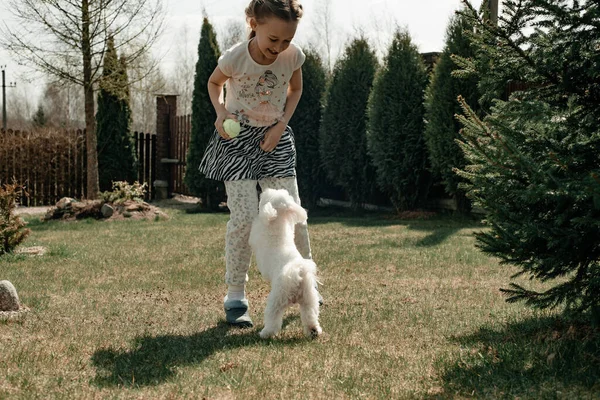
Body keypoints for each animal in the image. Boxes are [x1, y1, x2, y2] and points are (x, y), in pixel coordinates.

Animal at [248, 189, 324, 340]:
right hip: (309, 299)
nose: (262, 191)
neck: (278, 222)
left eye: (265, 197)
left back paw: (265, 333)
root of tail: (298, 271)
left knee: (273, 318)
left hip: (277, 299)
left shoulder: (257, 231)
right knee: (310, 317)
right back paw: (314, 331)